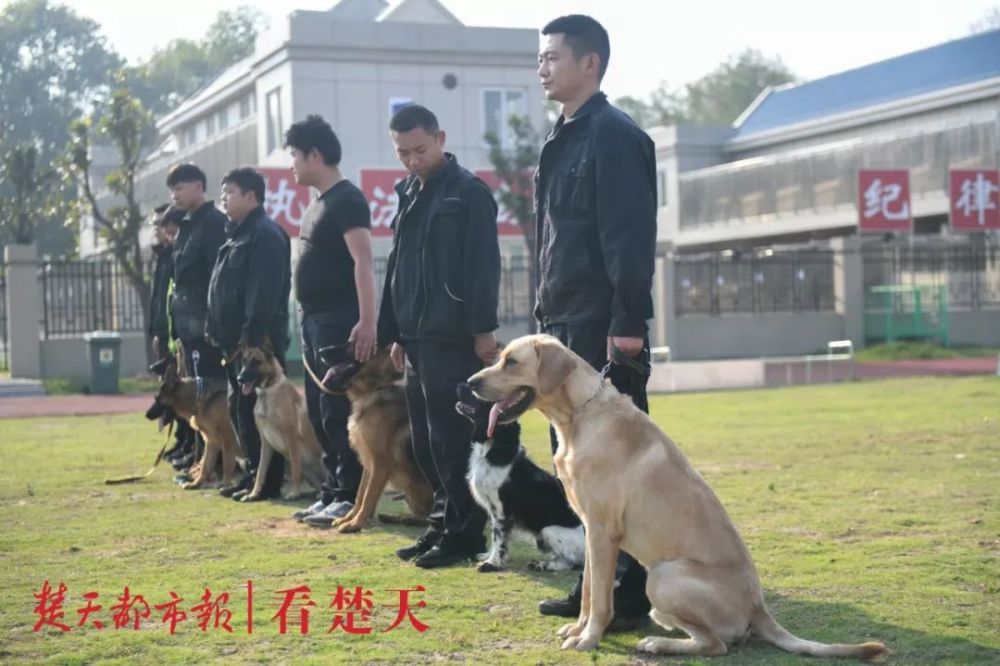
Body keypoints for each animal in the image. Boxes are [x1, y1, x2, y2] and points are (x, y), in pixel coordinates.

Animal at [236, 348, 326, 498]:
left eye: (256, 362)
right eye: (243, 361)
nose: (239, 379)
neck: (267, 391)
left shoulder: (292, 438)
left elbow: (295, 469)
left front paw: (295, 493)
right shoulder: (265, 442)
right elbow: (260, 471)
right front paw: (254, 494)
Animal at [318, 344, 432, 532]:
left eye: (352, 343)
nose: (321, 351)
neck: (378, 387)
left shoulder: (380, 463)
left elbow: (368, 497)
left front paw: (355, 523)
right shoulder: (368, 462)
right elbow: (360, 494)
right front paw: (348, 518)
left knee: (428, 518)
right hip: (411, 493)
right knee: (421, 516)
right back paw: (397, 518)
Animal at [464, 334, 888, 656]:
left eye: (512, 362)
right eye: (500, 357)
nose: (469, 383)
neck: (580, 416)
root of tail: (759, 608)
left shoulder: (602, 532)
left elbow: (600, 599)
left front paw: (588, 639)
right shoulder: (589, 529)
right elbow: (586, 592)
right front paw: (577, 629)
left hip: (663, 576)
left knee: (716, 644)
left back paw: (657, 644)